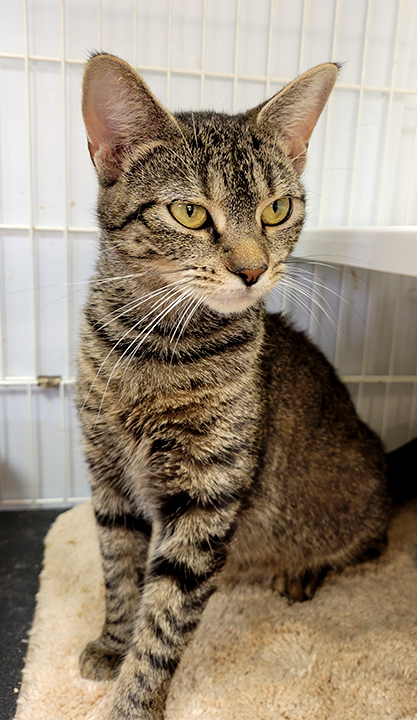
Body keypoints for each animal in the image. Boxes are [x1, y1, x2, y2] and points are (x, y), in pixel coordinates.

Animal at [75, 54, 390, 720]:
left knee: (368, 542)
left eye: (277, 209)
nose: (252, 269)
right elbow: (120, 573)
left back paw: (303, 571)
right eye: (190, 213)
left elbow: (165, 618)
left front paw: (134, 701)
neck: (157, 348)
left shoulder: (206, 497)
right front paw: (113, 644)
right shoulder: (108, 476)